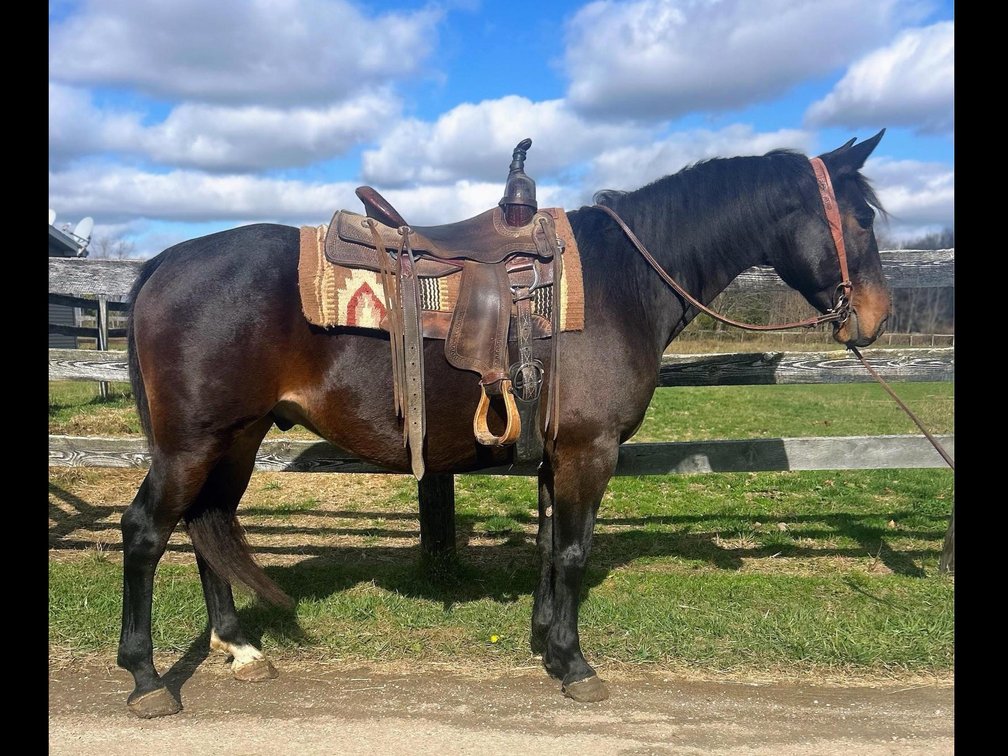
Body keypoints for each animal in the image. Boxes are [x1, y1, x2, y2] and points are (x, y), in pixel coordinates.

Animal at [117, 131, 891, 717]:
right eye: (861, 220)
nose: (875, 319)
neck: (622, 280)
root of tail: (161, 264)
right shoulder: (589, 451)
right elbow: (574, 553)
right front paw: (576, 665)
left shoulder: (556, 455)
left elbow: (550, 549)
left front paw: (547, 641)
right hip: (192, 444)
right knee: (148, 530)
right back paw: (148, 678)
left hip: (236, 439)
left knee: (208, 524)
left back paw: (239, 647)